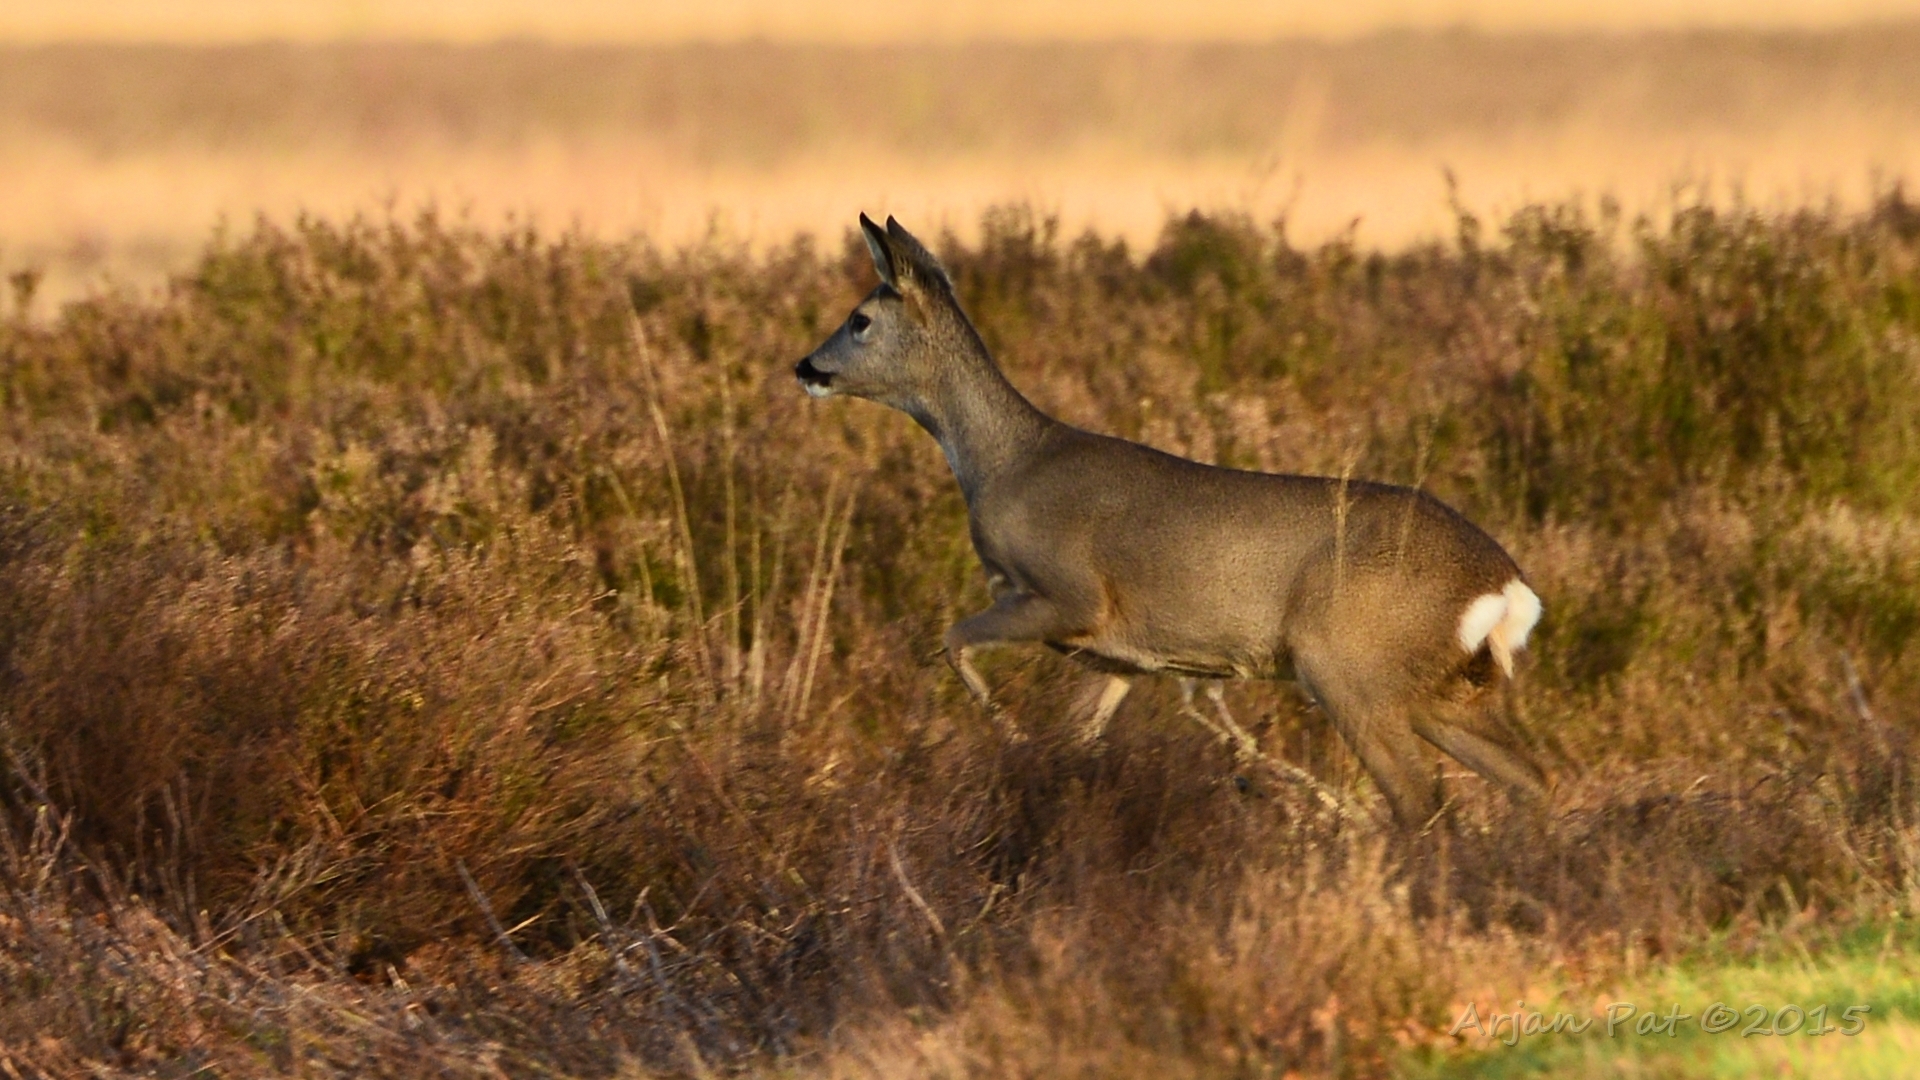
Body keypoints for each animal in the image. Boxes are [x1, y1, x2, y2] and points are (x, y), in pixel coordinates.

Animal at [794, 214, 1546, 827]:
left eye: (859, 319)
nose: (805, 365)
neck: (1004, 463)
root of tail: (1505, 583)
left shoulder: (1069, 595)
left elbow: (952, 642)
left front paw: (1005, 732)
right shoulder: (1117, 657)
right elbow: (1074, 736)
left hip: (1346, 665)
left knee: (1422, 803)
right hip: (1442, 690)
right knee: (1533, 780)